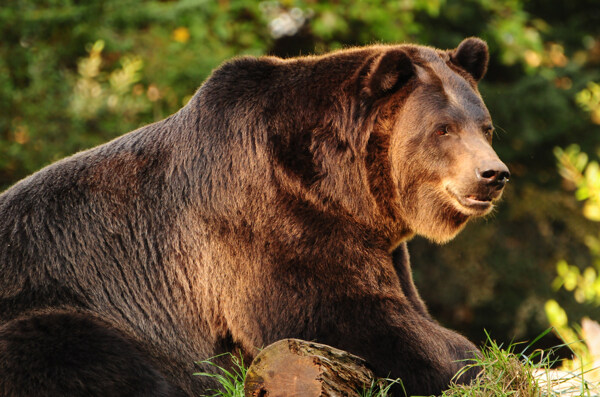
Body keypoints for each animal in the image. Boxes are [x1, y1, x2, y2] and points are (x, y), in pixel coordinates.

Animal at [0, 36, 508, 392]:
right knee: (65, 342)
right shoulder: (262, 217)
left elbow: (402, 305)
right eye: (443, 129)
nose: (493, 174)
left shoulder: (377, 243)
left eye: (484, 127)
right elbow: (335, 312)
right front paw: (478, 363)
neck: (343, 190)